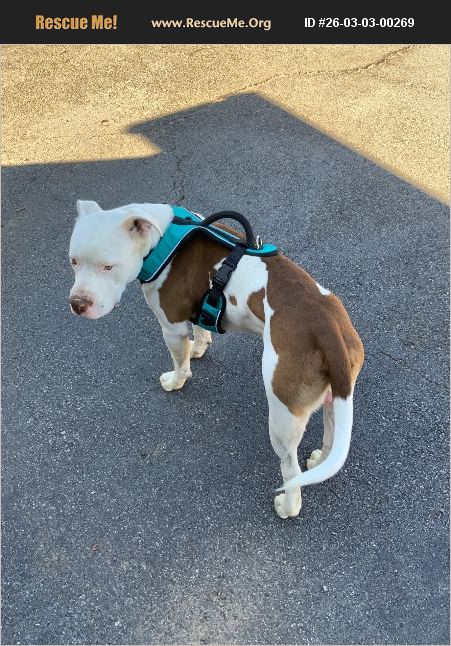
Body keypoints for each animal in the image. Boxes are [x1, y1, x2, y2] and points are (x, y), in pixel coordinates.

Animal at [69, 200, 364, 518]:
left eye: (108, 266)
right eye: (73, 261)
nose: (78, 304)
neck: (164, 237)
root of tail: (328, 329)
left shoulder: (171, 326)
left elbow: (179, 361)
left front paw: (176, 380)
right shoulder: (199, 305)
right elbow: (200, 328)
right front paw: (199, 347)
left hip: (283, 414)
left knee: (290, 469)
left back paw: (287, 506)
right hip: (333, 396)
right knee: (330, 438)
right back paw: (320, 460)